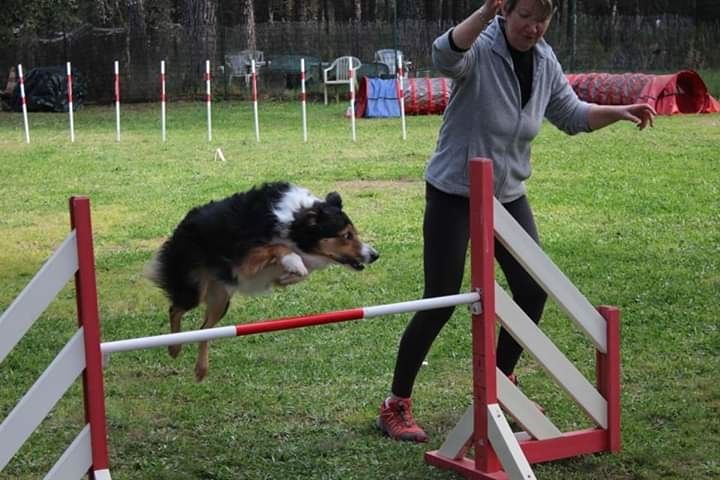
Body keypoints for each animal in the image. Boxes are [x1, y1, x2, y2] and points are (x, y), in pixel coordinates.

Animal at [148, 182, 380, 380]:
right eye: (346, 236)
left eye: (354, 233)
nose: (374, 255)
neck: (294, 222)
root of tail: (181, 225)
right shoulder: (244, 258)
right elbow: (279, 248)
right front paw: (293, 262)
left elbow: (301, 271)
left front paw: (286, 278)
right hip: (193, 287)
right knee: (175, 309)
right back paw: (174, 348)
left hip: (221, 298)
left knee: (204, 329)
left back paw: (201, 369)